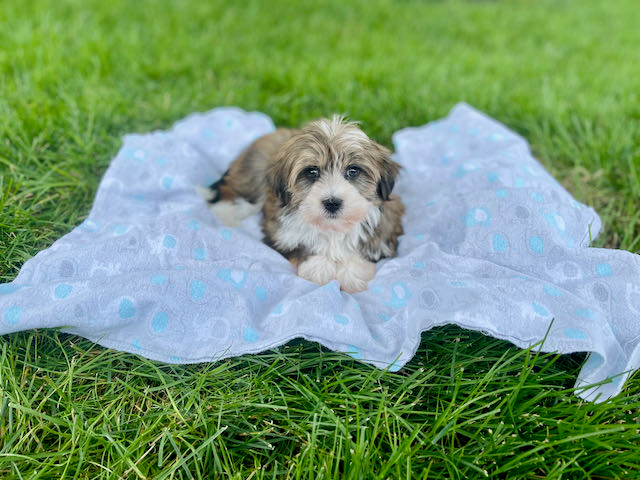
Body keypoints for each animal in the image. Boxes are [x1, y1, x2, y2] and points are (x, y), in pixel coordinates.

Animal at [198, 116, 402, 292]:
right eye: (312, 172)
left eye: (353, 171)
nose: (332, 203)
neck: (331, 228)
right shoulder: (279, 233)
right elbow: (301, 247)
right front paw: (318, 267)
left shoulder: (387, 228)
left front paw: (352, 274)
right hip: (254, 177)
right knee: (233, 194)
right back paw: (227, 215)